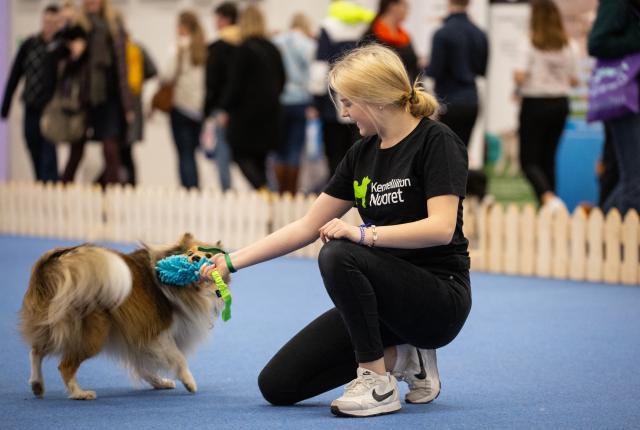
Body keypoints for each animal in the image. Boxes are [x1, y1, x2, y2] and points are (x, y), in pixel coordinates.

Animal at [19, 235, 228, 400]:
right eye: (189, 252)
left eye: (209, 256)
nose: (195, 257)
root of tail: (57, 268)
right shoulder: (158, 332)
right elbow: (178, 358)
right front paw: (189, 382)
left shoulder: (139, 335)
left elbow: (144, 367)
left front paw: (160, 382)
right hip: (93, 336)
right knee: (65, 365)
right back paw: (80, 393)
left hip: (53, 325)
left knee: (36, 351)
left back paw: (37, 385)